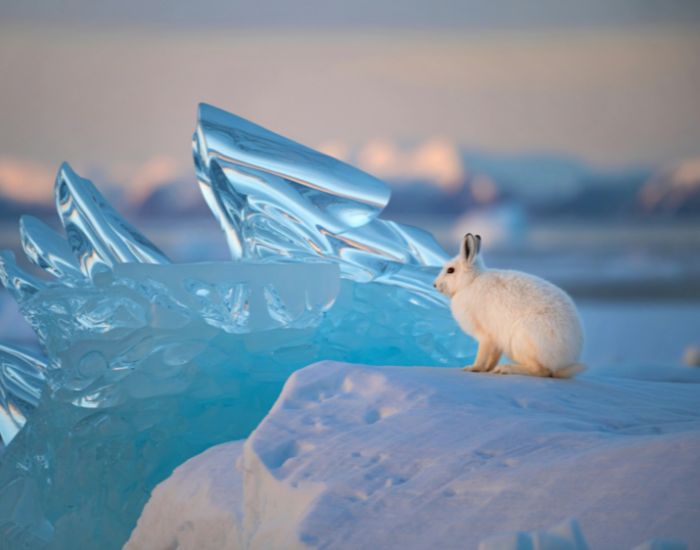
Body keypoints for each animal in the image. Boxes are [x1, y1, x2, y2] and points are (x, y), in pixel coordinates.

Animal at [433, 233, 586, 378]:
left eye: (450, 270)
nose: (434, 284)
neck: (469, 282)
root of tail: (563, 362)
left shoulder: (485, 336)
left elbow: (482, 355)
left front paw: (473, 368)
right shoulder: (497, 341)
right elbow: (493, 357)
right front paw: (487, 370)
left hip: (522, 338)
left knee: (541, 371)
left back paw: (505, 369)